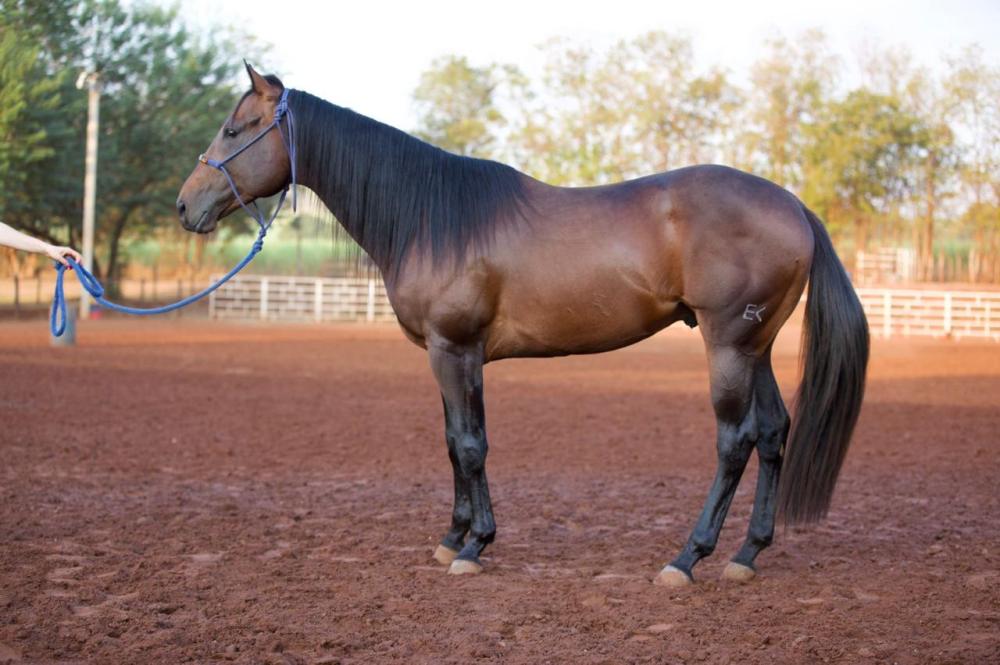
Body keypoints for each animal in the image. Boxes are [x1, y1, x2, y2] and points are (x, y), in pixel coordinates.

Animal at [177, 63, 868, 586]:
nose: (185, 206)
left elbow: (470, 445)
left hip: (727, 345)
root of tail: (793, 205)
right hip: (757, 346)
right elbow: (454, 441)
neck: (433, 218)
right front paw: (453, 536)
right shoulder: (451, 355)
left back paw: (686, 558)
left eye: (235, 128)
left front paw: (473, 547)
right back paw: (747, 555)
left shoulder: (453, 349)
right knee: (773, 432)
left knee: (735, 441)